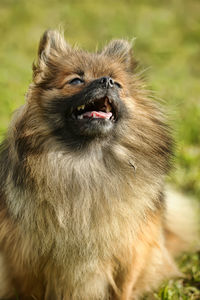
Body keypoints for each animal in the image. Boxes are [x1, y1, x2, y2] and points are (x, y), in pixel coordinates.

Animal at [0, 29, 198, 298]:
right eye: (76, 81)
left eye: (118, 83)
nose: (107, 81)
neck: (87, 159)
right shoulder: (26, 258)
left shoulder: (130, 253)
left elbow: (122, 289)